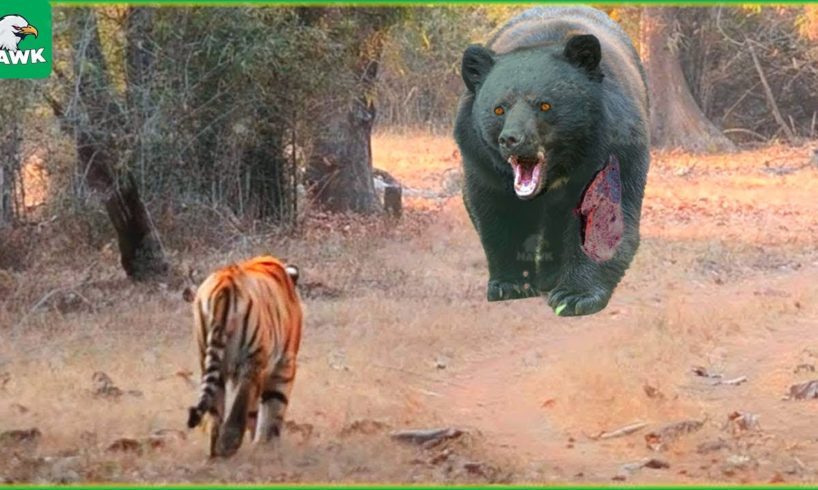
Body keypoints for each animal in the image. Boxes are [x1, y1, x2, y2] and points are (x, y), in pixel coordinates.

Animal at [183, 255, 303, 457]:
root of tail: (225, 283)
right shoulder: (284, 365)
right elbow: (274, 406)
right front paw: (268, 446)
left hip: (209, 356)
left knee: (216, 410)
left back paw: (215, 452)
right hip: (252, 361)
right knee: (241, 404)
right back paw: (228, 445)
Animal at [454, 6, 649, 316]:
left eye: (544, 105)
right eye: (499, 109)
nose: (511, 139)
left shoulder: (616, 145)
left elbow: (604, 213)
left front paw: (574, 296)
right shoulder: (480, 159)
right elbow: (495, 209)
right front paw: (510, 285)